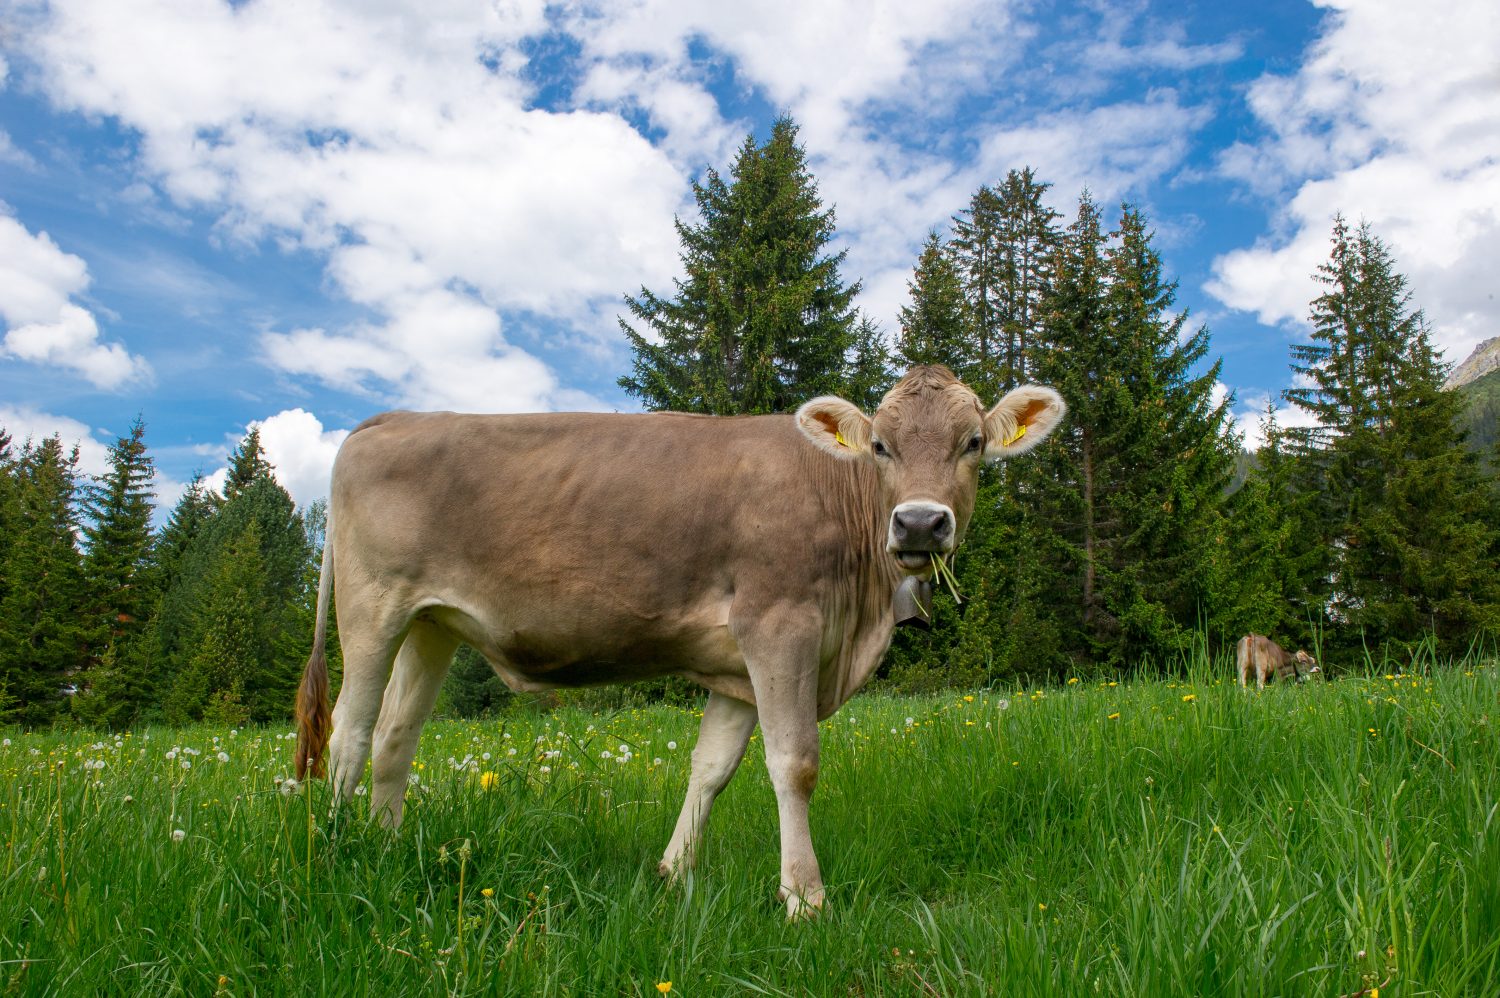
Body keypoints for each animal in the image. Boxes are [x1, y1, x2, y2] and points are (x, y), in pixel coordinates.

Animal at [294, 365, 1065, 917]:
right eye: (880, 445)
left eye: (973, 443)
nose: (919, 523)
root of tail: (395, 418)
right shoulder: (780, 626)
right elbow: (794, 764)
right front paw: (805, 898)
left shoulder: (740, 667)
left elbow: (712, 768)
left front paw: (673, 873)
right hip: (372, 609)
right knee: (351, 733)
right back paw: (332, 852)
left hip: (431, 623)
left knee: (395, 737)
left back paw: (387, 846)